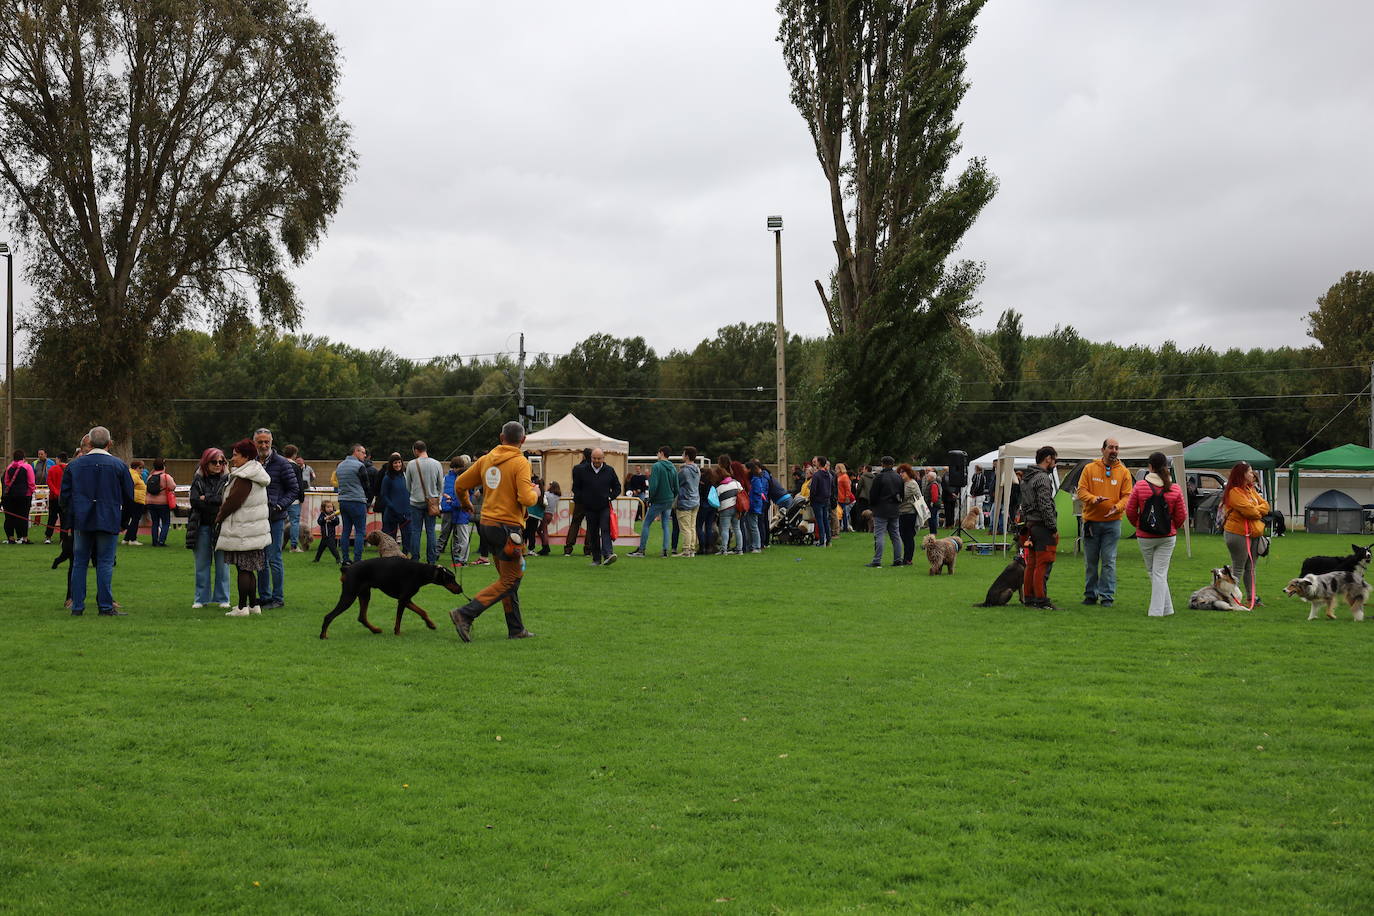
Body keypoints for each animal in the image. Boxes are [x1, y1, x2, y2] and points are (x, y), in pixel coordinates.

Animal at [320, 560, 461, 637]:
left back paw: (375, 630)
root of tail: (347, 568)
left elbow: (422, 611)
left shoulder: (406, 599)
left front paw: (430, 624)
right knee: (328, 616)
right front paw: (397, 633)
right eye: (452, 578)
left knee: (362, 617)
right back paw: (323, 636)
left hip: (364, 594)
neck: (421, 572)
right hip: (349, 595)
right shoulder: (403, 599)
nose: (461, 589)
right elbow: (399, 619)